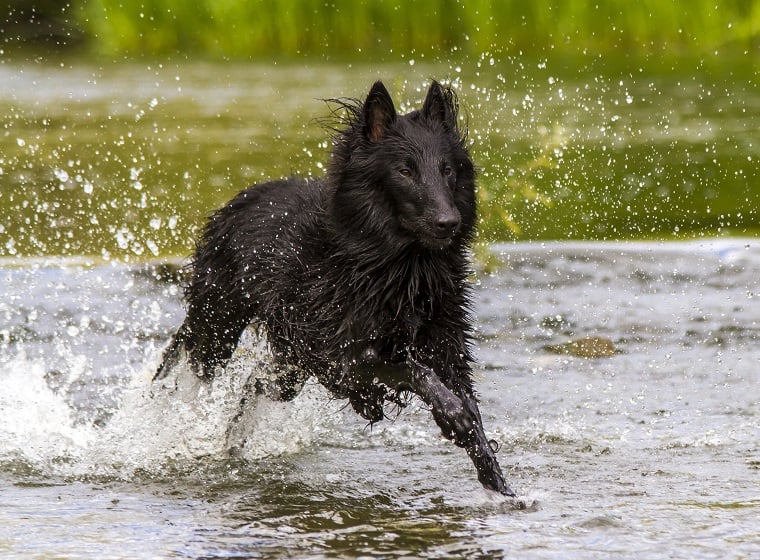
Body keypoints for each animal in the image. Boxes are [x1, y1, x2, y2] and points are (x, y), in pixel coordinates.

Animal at [154, 81, 512, 496]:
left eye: (448, 170)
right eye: (405, 170)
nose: (448, 222)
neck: (398, 269)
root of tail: (240, 199)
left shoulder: (447, 347)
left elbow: (472, 417)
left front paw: (501, 487)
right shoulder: (344, 361)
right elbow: (412, 370)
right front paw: (451, 413)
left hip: (288, 362)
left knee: (256, 386)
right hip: (216, 332)